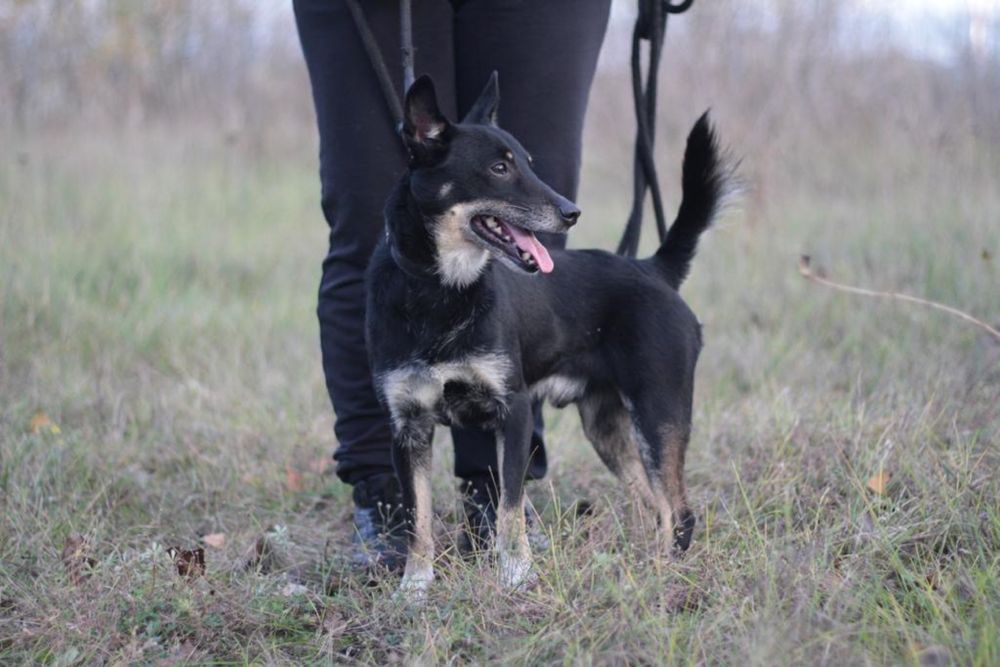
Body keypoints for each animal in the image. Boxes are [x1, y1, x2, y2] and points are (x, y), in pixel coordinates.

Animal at [364, 74, 732, 600]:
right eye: (498, 168)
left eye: (529, 163)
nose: (571, 212)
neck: (442, 289)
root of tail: (653, 268)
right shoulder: (408, 427)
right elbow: (419, 518)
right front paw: (414, 589)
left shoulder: (514, 412)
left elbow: (510, 508)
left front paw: (516, 574)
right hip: (605, 425)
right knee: (652, 506)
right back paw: (643, 568)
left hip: (660, 411)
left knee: (679, 512)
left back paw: (665, 577)